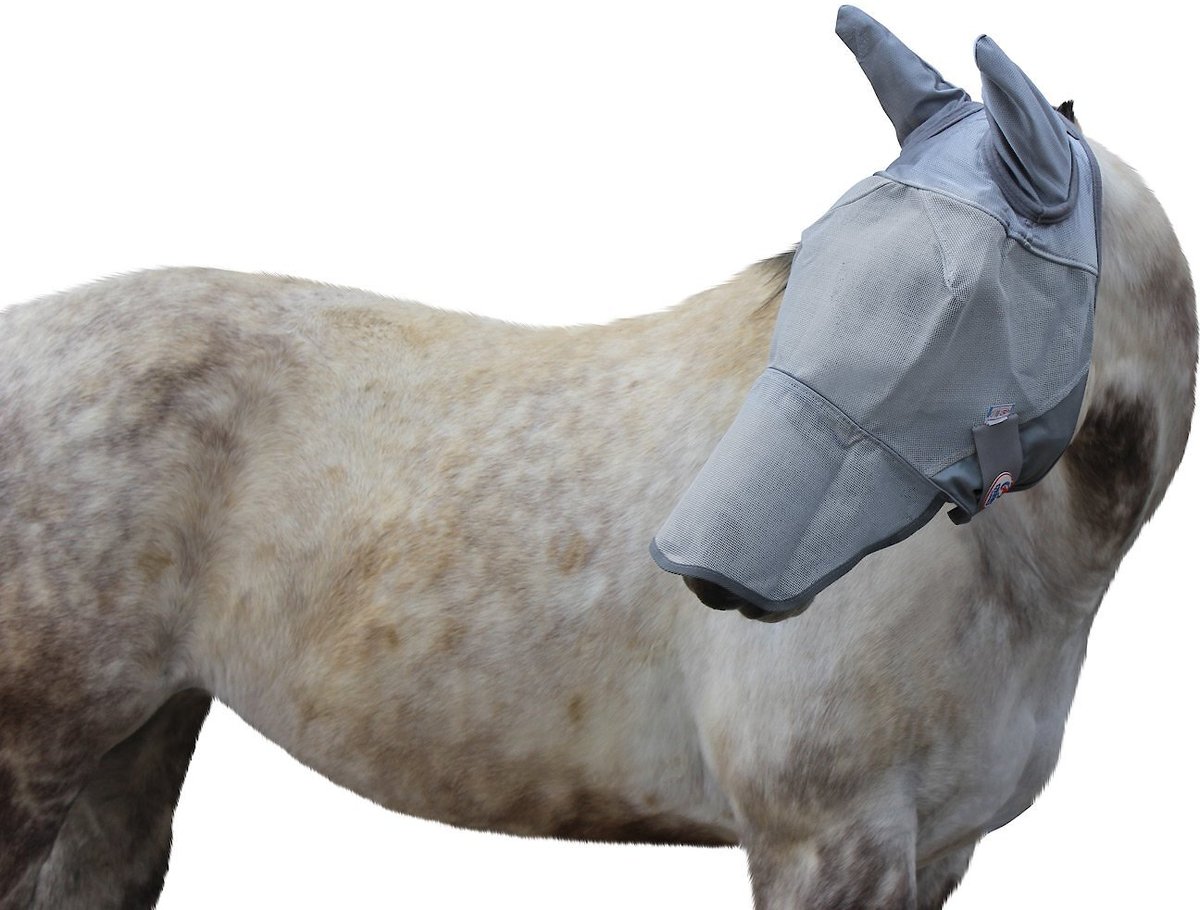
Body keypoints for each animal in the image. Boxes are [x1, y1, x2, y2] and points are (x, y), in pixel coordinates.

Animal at [1, 10, 1194, 910]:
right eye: (813, 260)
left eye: (959, 294)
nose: (709, 570)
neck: (1015, 577)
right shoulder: (827, 839)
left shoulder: (938, 850)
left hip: (137, 740)